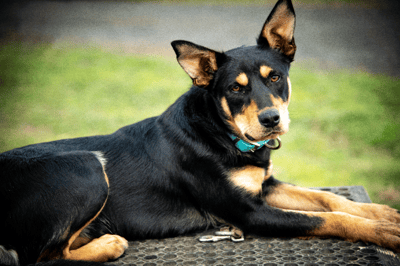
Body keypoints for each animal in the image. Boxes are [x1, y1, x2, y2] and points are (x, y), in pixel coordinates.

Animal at [0, 1, 400, 264]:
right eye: (236, 89)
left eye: (275, 77)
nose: (271, 119)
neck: (222, 135)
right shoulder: (248, 212)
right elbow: (331, 218)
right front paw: (386, 233)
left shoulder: (264, 186)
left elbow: (331, 200)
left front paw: (385, 214)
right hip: (85, 166)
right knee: (44, 257)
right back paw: (108, 244)